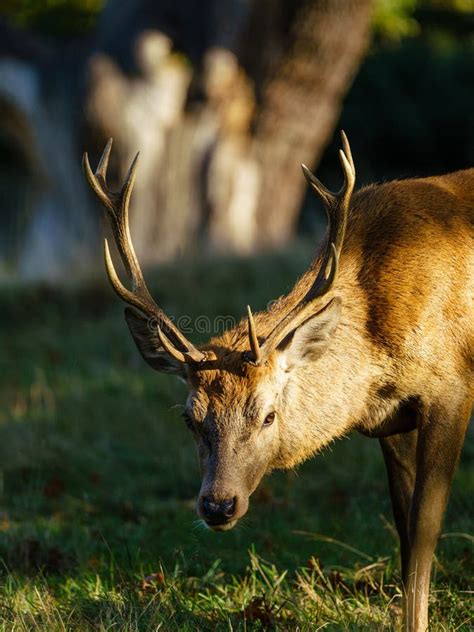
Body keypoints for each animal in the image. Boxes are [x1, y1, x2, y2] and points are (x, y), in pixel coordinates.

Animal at [83, 135, 472, 632]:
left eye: (268, 415)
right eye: (190, 419)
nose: (217, 506)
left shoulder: (451, 387)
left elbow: (425, 526)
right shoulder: (393, 420)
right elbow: (404, 530)